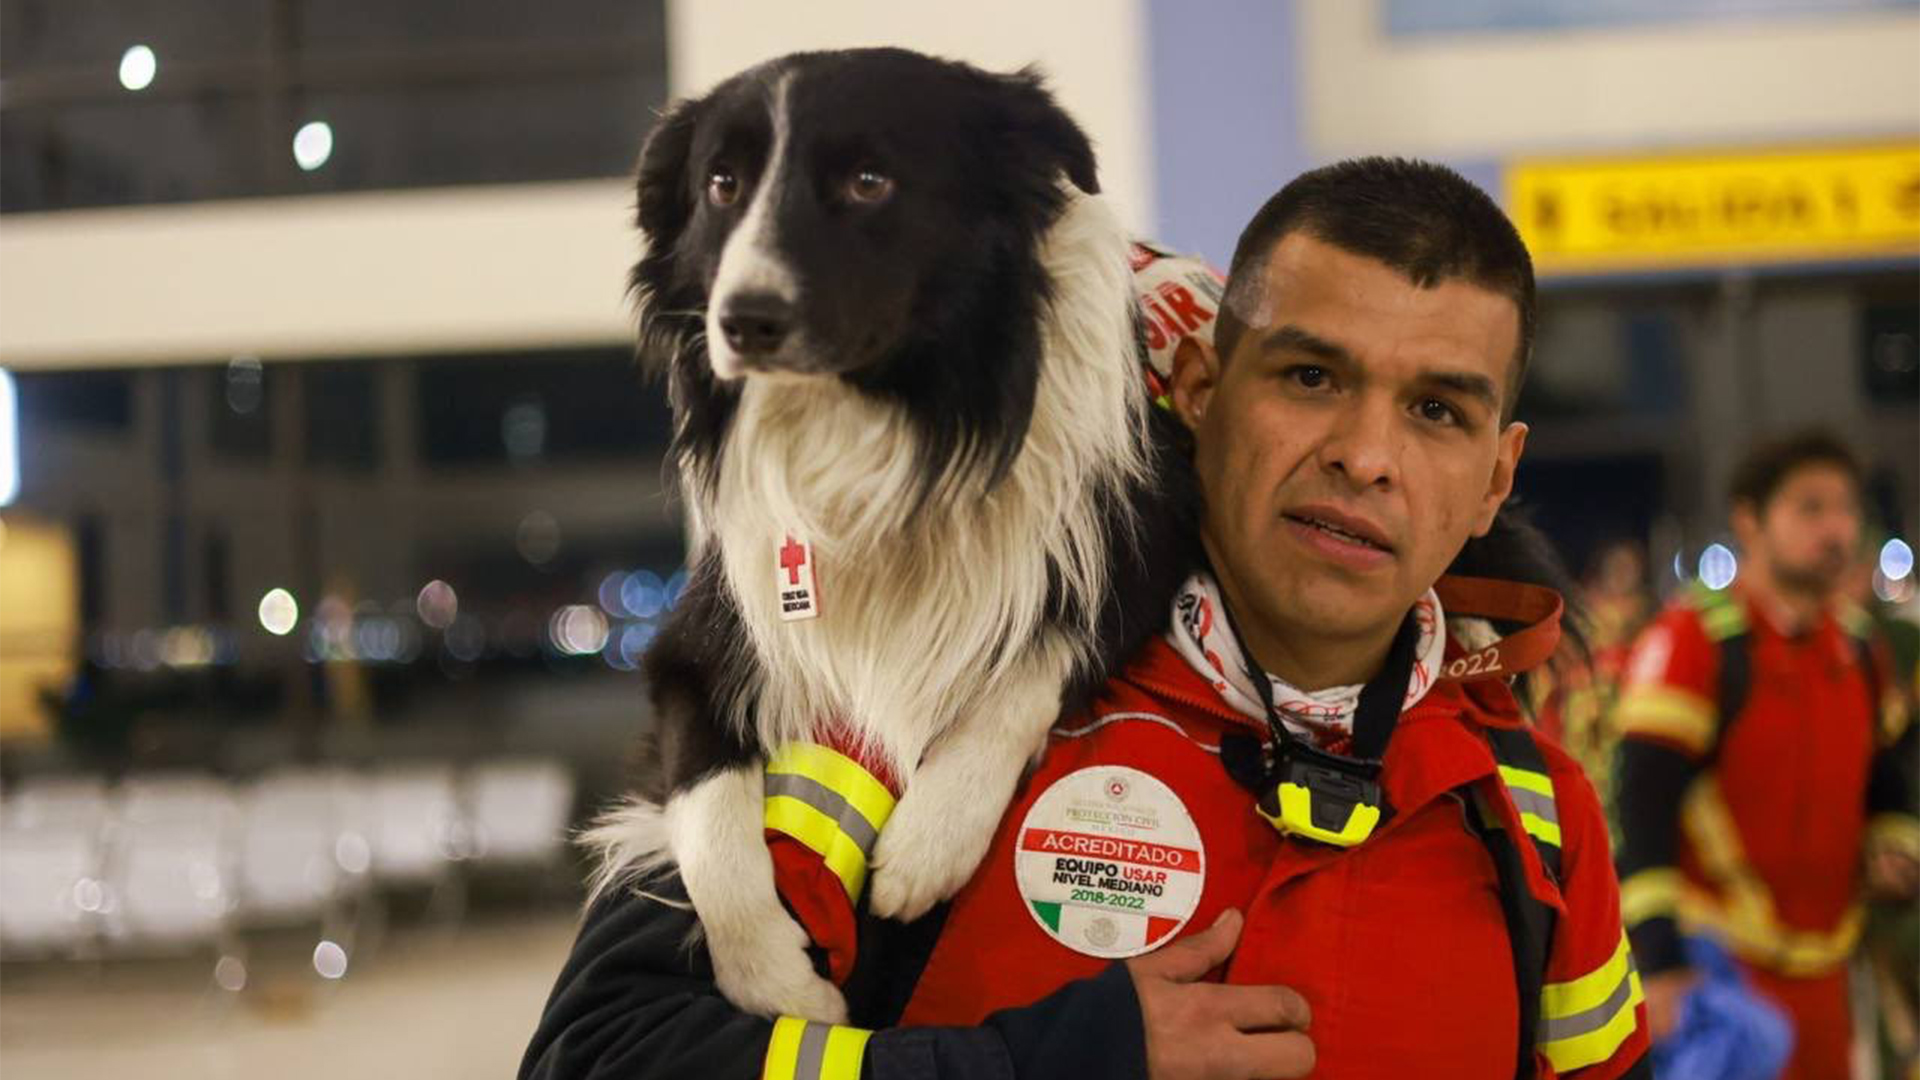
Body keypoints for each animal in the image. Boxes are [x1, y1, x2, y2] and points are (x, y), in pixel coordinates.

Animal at [583, 48, 1190, 1014]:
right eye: (721, 184)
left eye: (870, 181)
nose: (742, 320)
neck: (885, 429)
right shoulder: (697, 641)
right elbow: (708, 812)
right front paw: (780, 988)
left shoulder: (1143, 540)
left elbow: (1033, 662)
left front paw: (929, 841)